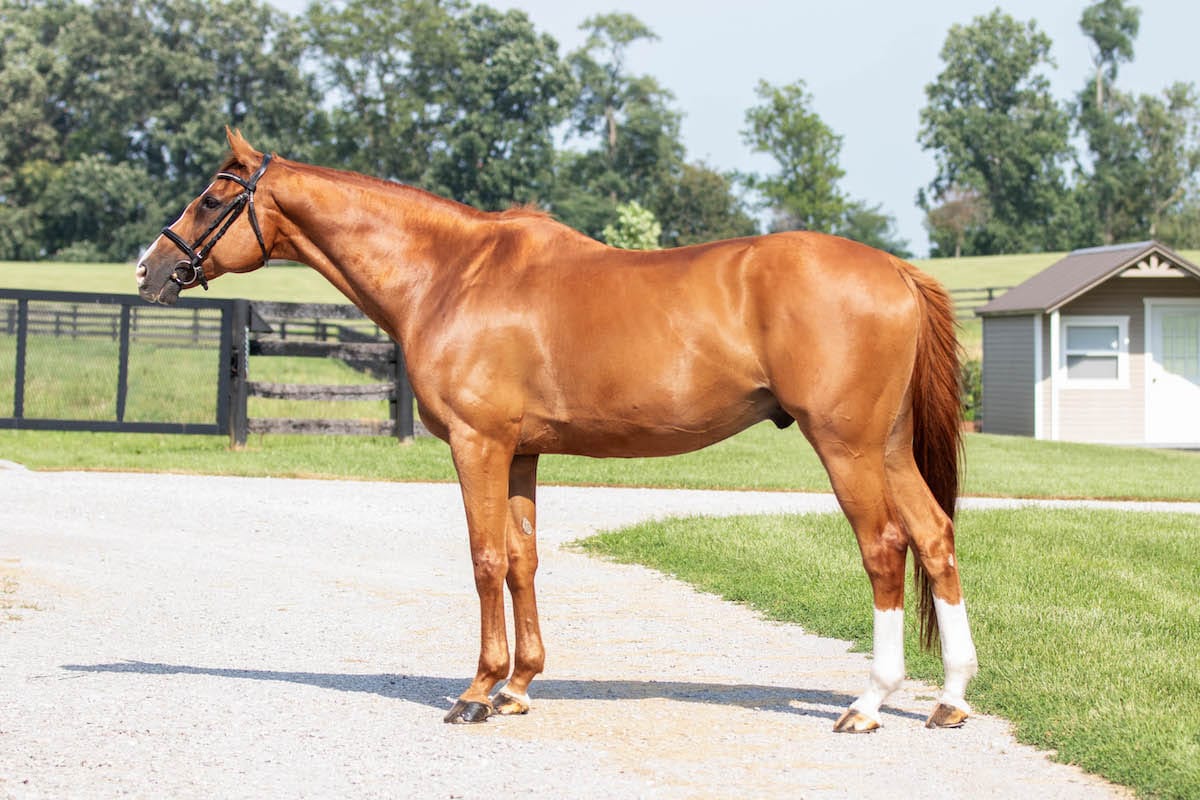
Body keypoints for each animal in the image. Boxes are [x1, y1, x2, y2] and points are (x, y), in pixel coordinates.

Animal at [136, 129, 978, 732]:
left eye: (211, 199)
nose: (149, 270)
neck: (451, 274)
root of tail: (896, 270)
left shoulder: (477, 445)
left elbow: (483, 560)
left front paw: (477, 691)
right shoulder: (521, 454)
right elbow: (522, 561)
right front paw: (519, 686)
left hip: (846, 445)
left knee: (885, 548)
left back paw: (868, 704)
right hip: (889, 446)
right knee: (935, 538)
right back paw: (950, 700)